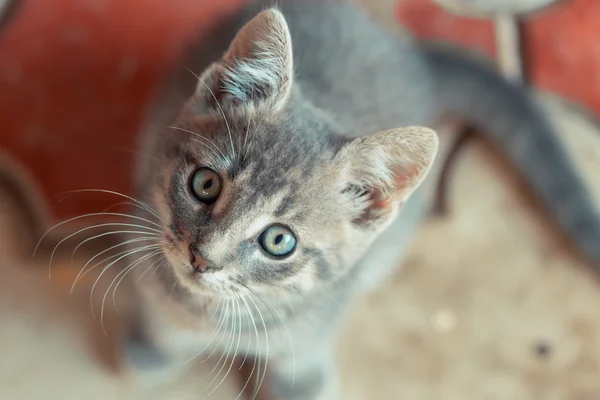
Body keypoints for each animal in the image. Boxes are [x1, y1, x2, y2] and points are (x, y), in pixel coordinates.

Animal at [124, 0, 600, 400]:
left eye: (279, 241)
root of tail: (413, 56)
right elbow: (157, 315)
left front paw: (301, 384)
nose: (202, 259)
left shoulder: (321, 316)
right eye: (205, 184)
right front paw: (153, 348)